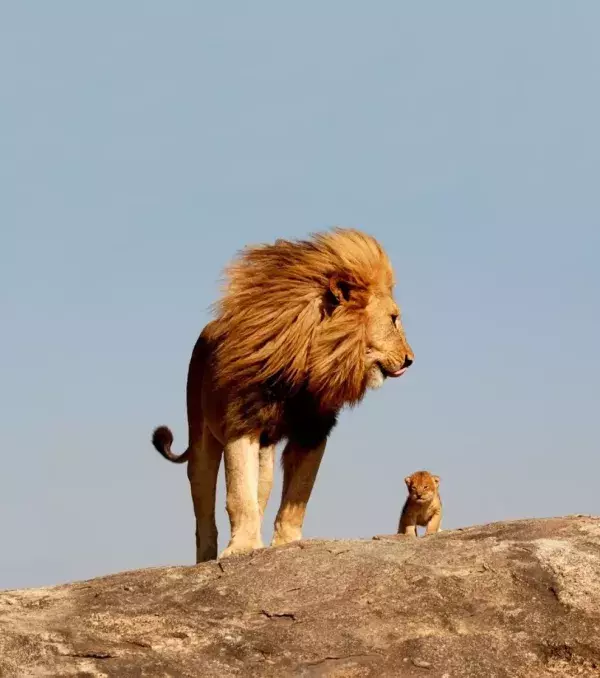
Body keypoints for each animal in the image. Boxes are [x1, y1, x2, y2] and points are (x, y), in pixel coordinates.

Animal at [152, 227, 414, 562]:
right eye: (394, 319)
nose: (410, 359)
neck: (306, 361)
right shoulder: (241, 422)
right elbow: (238, 494)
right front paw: (241, 548)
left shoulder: (313, 430)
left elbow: (298, 494)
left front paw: (285, 544)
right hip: (201, 437)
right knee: (203, 500)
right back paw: (207, 557)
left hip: (265, 456)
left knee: (261, 491)